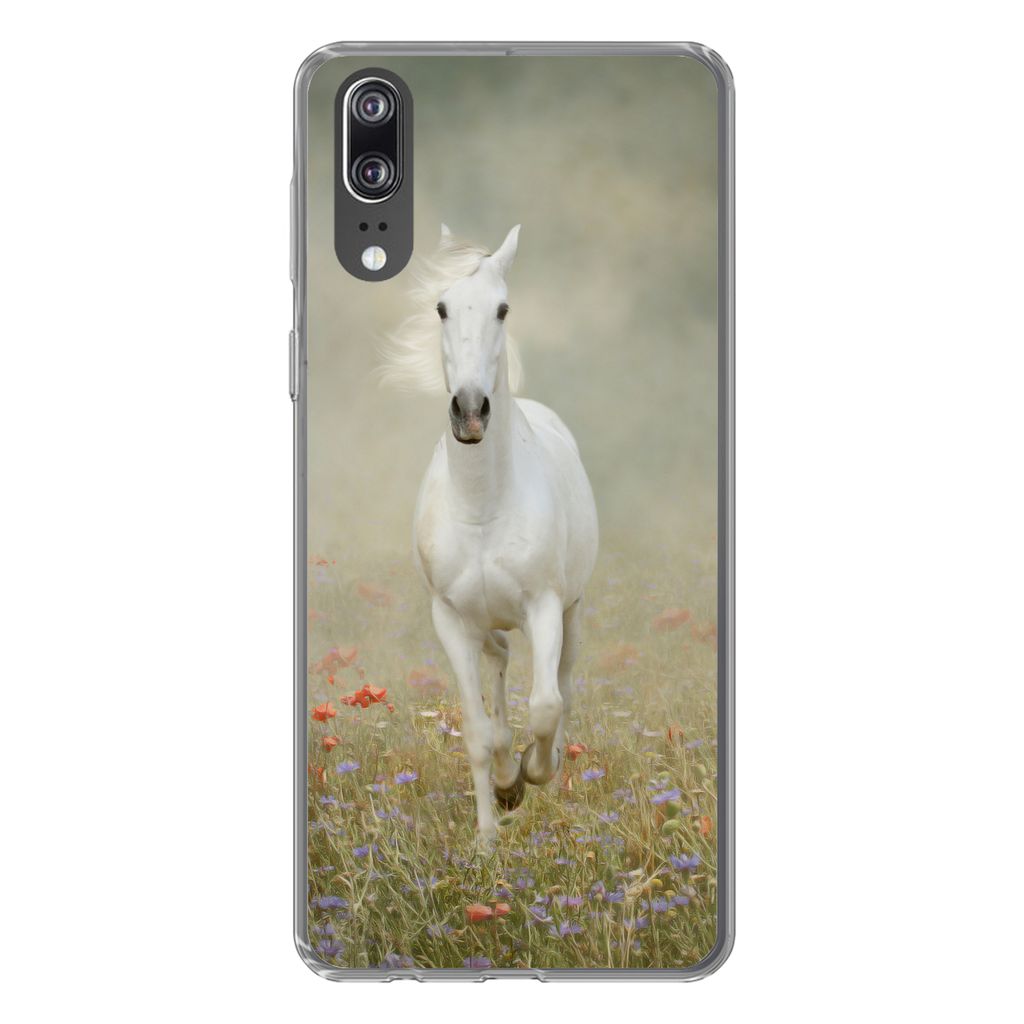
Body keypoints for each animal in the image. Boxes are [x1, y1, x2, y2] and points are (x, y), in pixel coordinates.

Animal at [381, 224, 599, 847]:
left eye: (503, 308)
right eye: (441, 307)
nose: (472, 410)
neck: (483, 509)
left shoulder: (545, 606)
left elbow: (547, 705)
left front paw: (531, 774)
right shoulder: (450, 621)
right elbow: (478, 733)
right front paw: (488, 830)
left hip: (572, 612)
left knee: (563, 685)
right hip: (482, 621)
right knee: (498, 660)